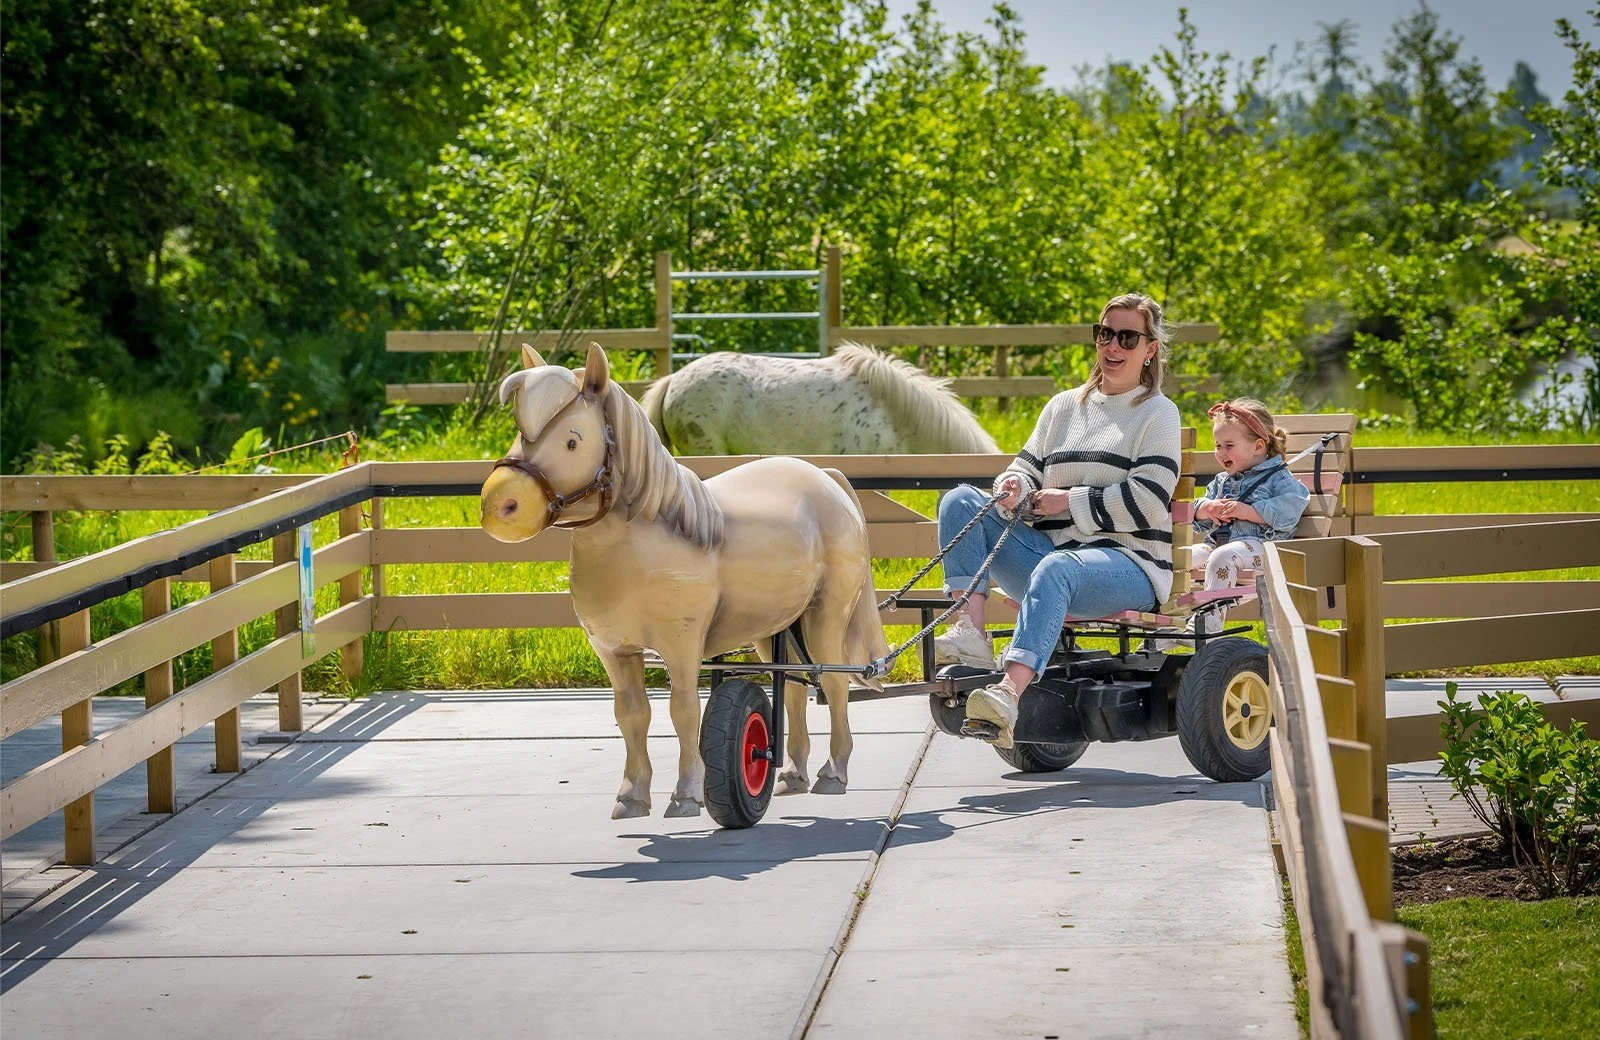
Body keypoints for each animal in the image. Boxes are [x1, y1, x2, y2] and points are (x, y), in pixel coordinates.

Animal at [480, 342, 890, 820]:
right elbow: (632, 715)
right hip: (772, 628)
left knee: (833, 682)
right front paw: (632, 796)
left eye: (572, 440)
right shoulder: (614, 651)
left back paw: (833, 773)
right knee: (791, 687)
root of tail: (826, 478)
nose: (500, 505)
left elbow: (684, 712)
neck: (652, 538)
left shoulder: (682, 647)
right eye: (519, 431)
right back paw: (793, 774)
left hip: (827, 614)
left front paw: (687, 794)